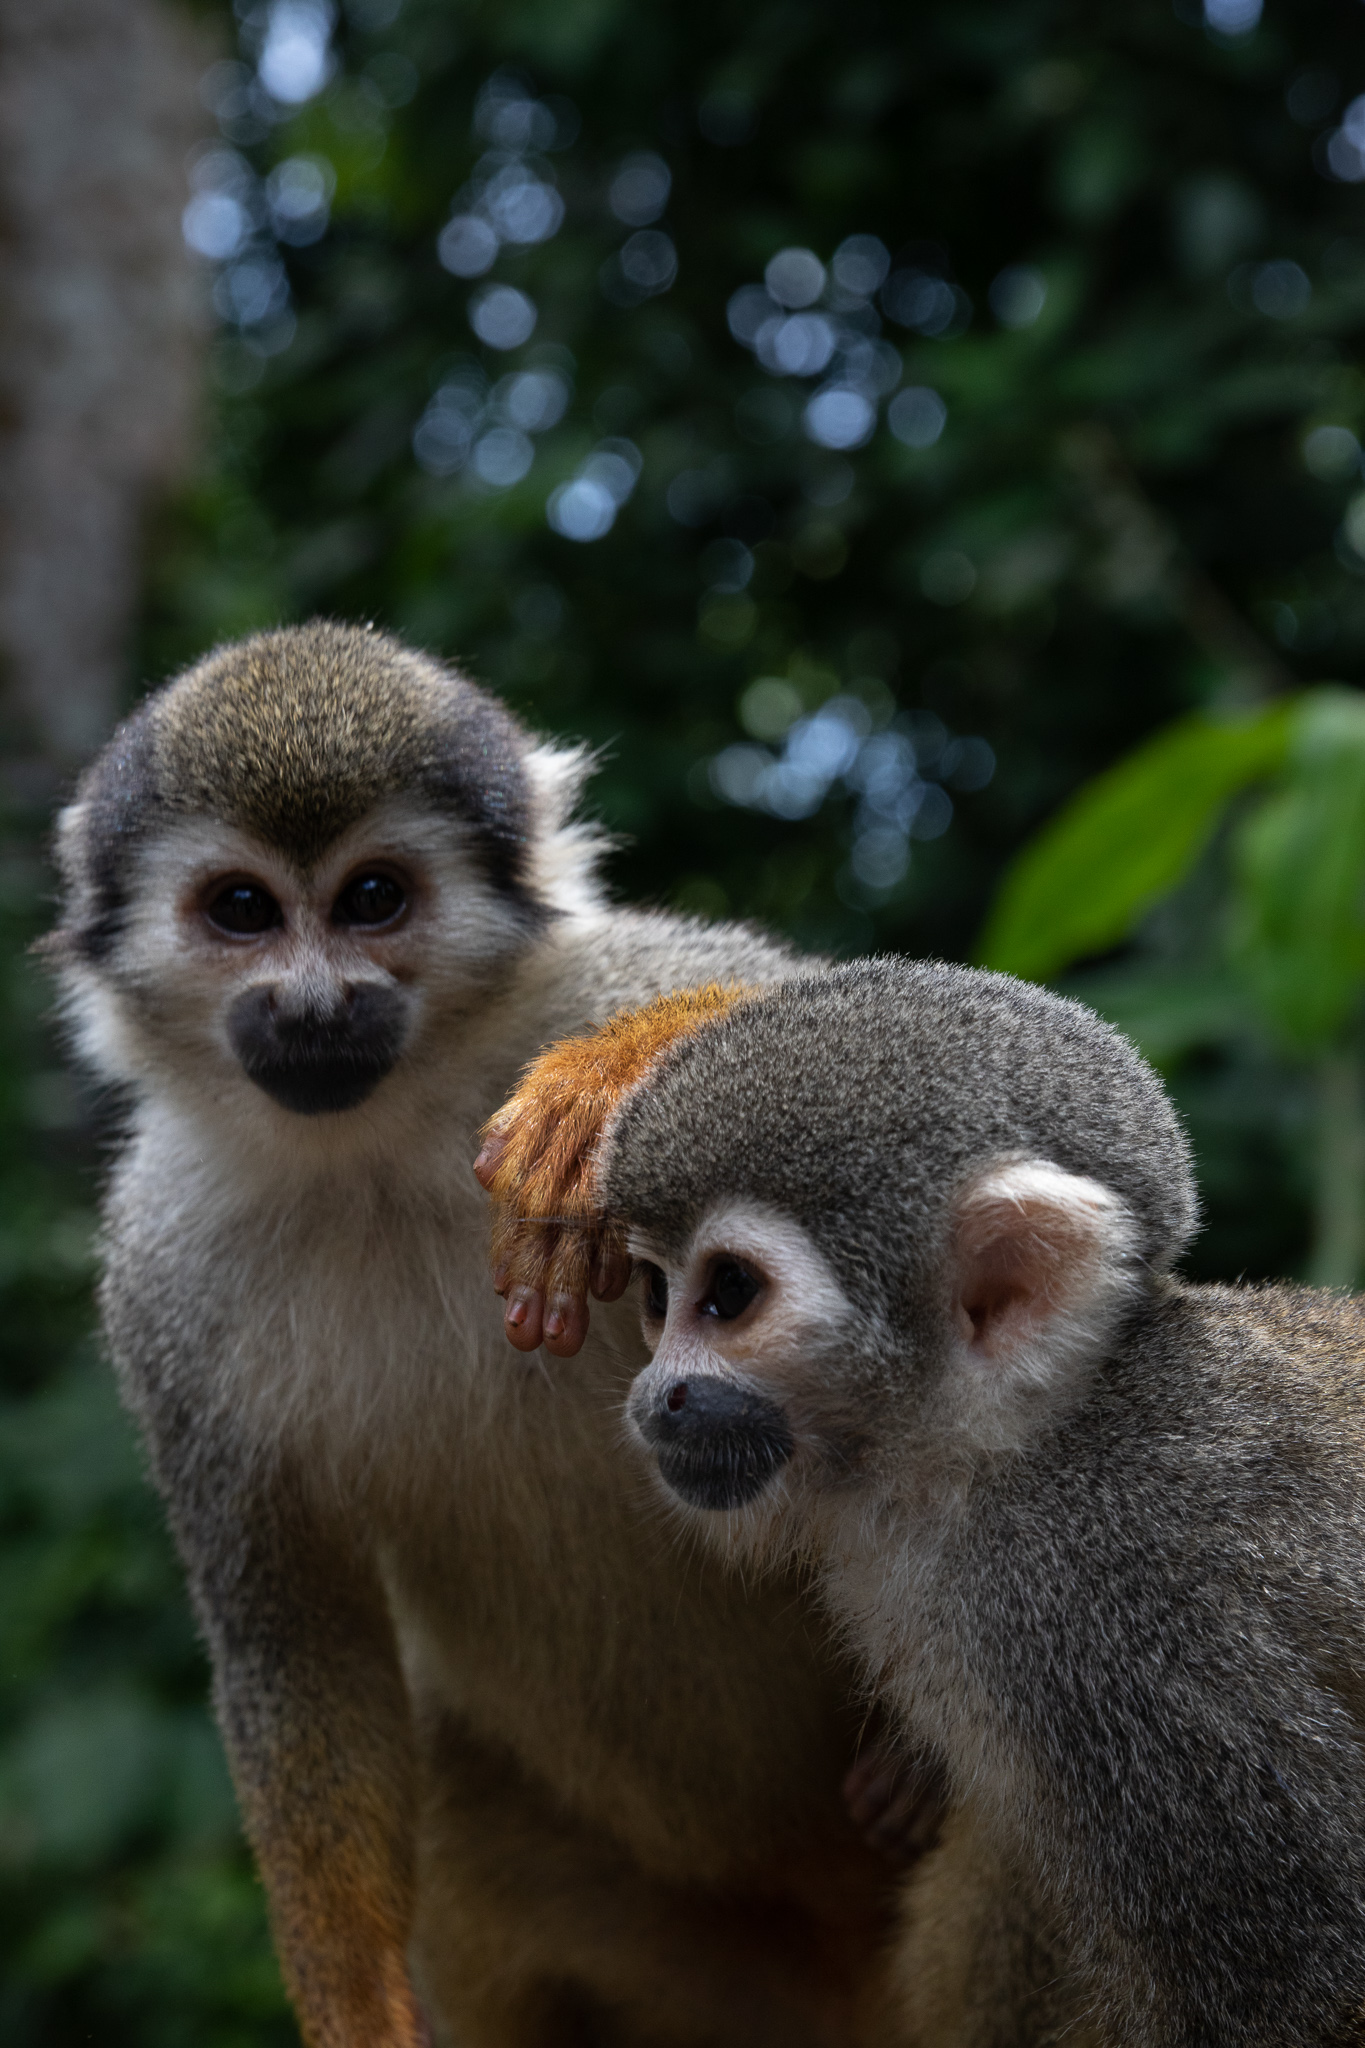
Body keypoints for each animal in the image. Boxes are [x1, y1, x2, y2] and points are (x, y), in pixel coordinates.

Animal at [45, 621, 934, 2048]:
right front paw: (357, 2009)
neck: (375, 1148)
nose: (313, 1006)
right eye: (242, 910)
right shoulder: (159, 1266)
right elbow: (302, 1644)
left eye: (373, 898)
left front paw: (607, 1074)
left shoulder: (585, 980)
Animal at [480, 957, 1365, 2048]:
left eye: (728, 1293)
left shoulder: (1125, 1627)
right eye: (657, 1294)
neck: (1009, 1460)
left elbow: (1300, 1980)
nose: (657, 1394)